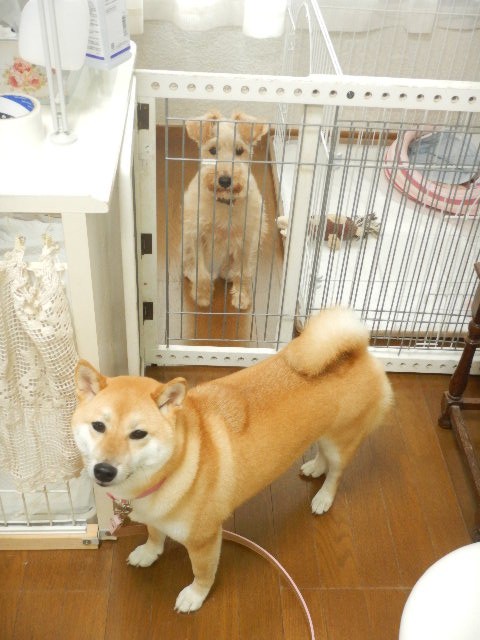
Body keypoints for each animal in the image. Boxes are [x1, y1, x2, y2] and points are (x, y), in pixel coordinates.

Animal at [71, 307, 392, 613]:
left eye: (138, 434)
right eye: (98, 426)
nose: (103, 470)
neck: (171, 470)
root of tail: (358, 351)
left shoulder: (205, 539)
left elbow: (202, 573)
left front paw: (195, 596)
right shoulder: (154, 517)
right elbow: (154, 535)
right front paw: (149, 553)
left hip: (341, 440)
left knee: (337, 473)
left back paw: (323, 497)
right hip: (325, 434)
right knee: (323, 455)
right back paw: (315, 467)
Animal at [182, 110, 268, 309]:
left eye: (240, 151)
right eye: (213, 150)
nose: (225, 180)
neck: (224, 203)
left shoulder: (247, 239)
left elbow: (243, 273)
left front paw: (241, 298)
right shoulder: (196, 235)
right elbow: (201, 272)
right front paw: (202, 296)